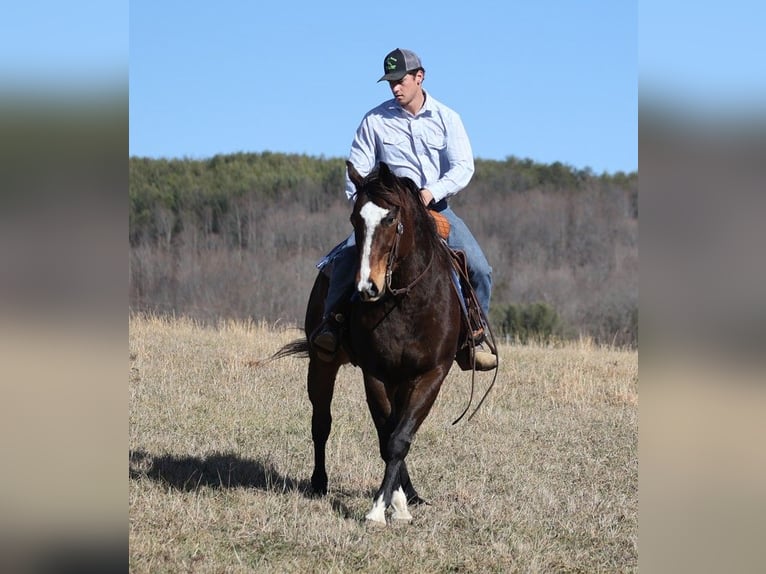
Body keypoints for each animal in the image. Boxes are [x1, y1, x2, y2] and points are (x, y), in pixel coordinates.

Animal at [276, 161, 468, 528]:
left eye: (391, 219)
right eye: (355, 219)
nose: (367, 287)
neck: (407, 303)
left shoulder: (431, 374)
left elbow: (400, 436)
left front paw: (398, 504)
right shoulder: (375, 374)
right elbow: (387, 437)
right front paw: (383, 507)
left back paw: (411, 494)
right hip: (322, 364)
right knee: (321, 422)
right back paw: (319, 483)